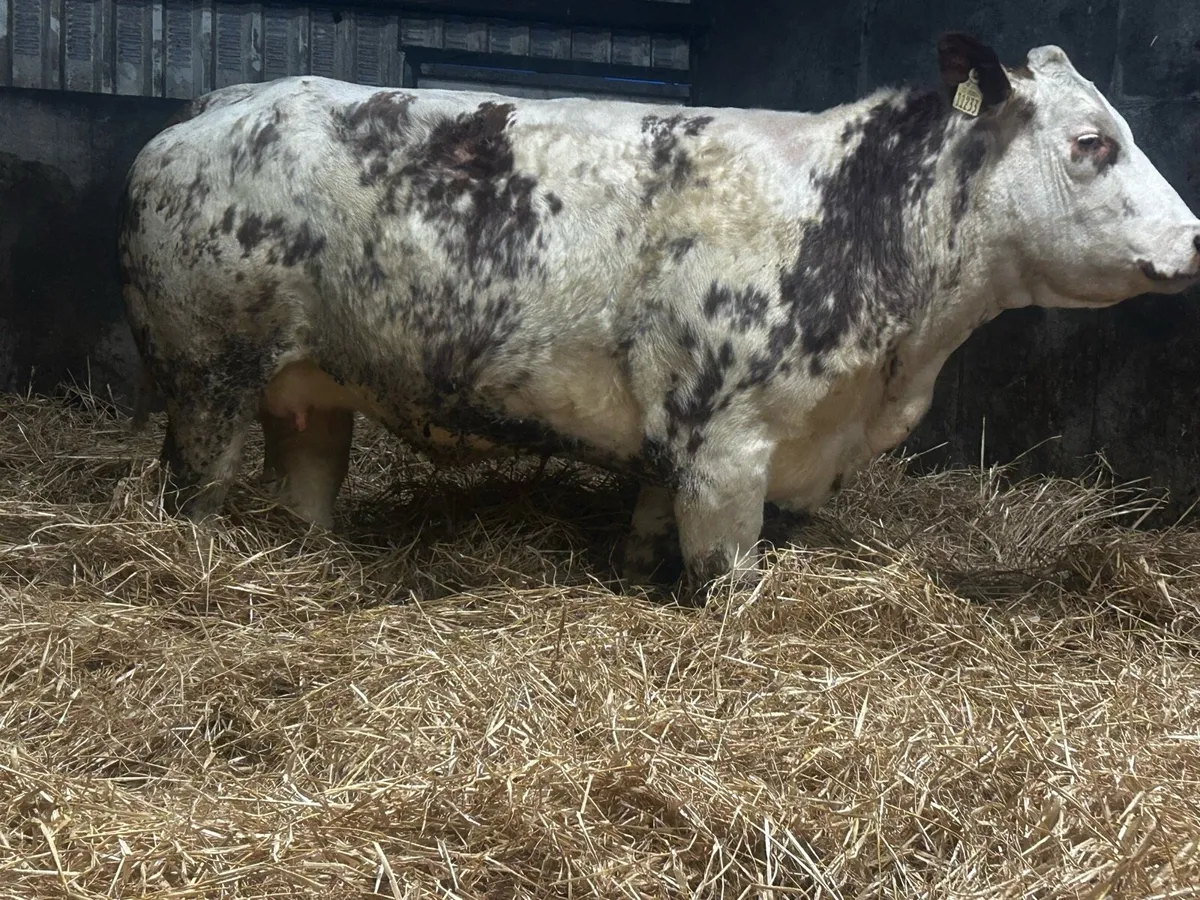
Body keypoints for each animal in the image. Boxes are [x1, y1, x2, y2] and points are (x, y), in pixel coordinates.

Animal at [118, 33, 1200, 605]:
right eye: (1093, 142)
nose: (1193, 238)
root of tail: (226, 102)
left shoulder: (673, 440)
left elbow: (644, 543)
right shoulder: (728, 448)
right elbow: (725, 581)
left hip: (308, 390)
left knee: (305, 487)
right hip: (202, 378)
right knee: (190, 491)